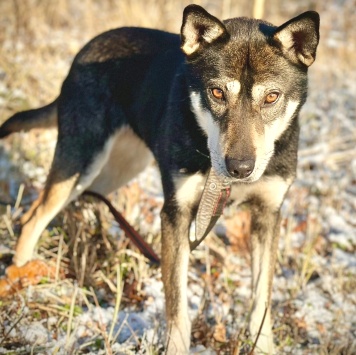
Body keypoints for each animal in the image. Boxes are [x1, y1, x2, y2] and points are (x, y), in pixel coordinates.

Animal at [0, 4, 320, 354]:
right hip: (81, 162)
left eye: (272, 97)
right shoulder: (176, 214)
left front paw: (263, 347)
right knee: (33, 218)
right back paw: (21, 278)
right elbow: (177, 304)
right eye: (217, 92)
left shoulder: (268, 214)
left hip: (118, 168)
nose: (240, 168)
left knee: (85, 199)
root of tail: (86, 49)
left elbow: (261, 300)